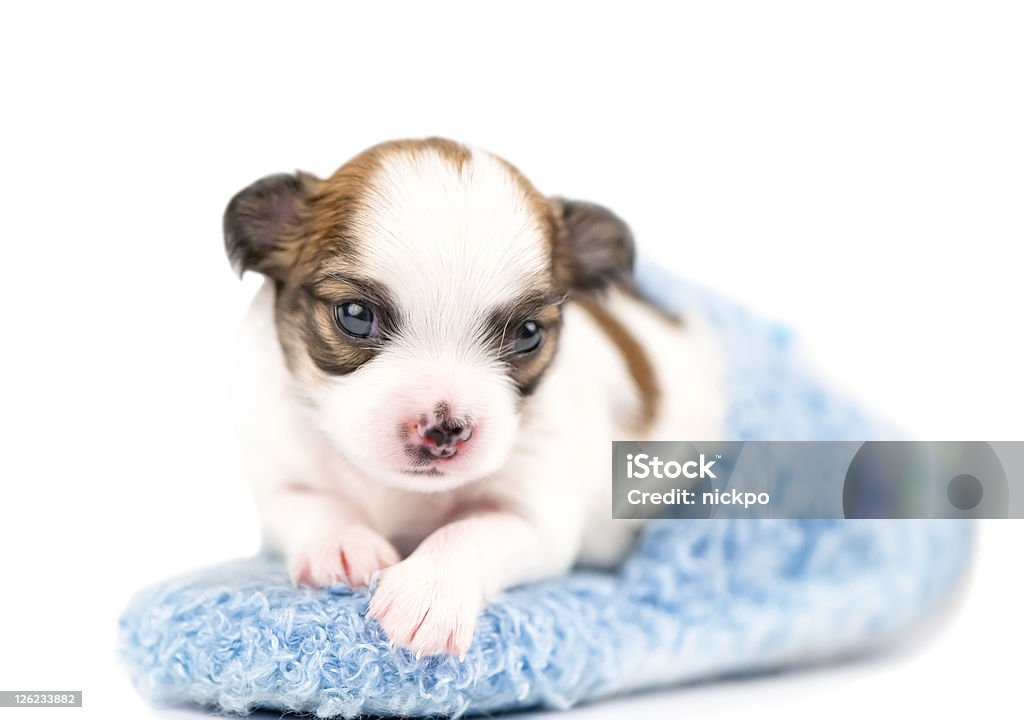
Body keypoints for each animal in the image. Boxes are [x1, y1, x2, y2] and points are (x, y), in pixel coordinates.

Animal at [226, 136, 720, 659]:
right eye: (355, 315)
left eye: (528, 334)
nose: (444, 430)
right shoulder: (281, 479)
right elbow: (311, 504)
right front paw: (342, 545)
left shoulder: (536, 518)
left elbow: (470, 532)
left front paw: (429, 590)